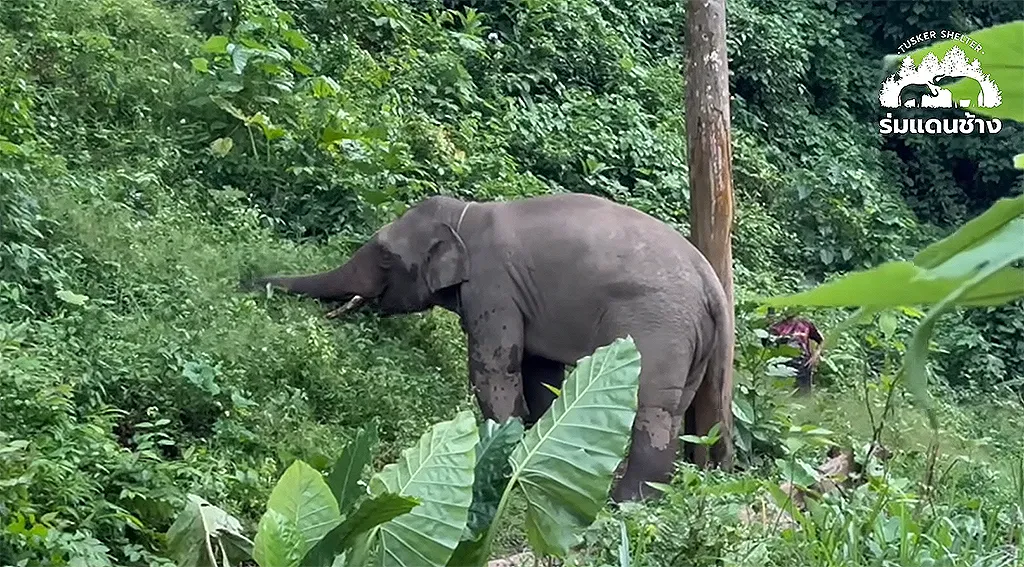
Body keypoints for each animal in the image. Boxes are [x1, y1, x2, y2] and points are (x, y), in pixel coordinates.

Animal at [243, 193, 733, 499]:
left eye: (384, 254)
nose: (249, 281)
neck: (466, 214)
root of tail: (712, 281)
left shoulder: (492, 285)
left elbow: (495, 366)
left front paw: (502, 452)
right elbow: (540, 374)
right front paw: (537, 448)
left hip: (658, 325)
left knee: (653, 406)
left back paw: (624, 501)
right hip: (691, 339)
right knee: (678, 406)